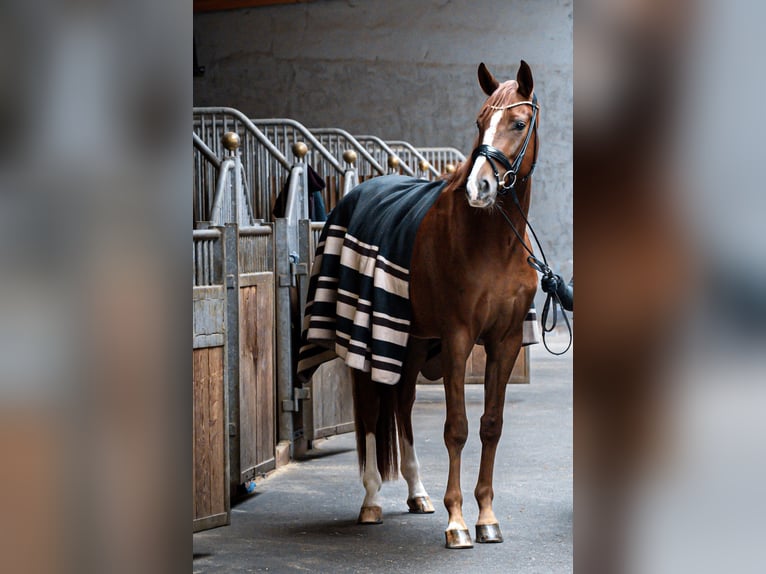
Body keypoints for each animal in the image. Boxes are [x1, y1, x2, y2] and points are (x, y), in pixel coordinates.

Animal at [299, 60, 540, 549]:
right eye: (479, 122)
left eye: (519, 123)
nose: (480, 187)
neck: (494, 243)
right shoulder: (458, 338)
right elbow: (456, 428)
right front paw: (458, 522)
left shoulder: (504, 342)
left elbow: (490, 425)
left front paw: (487, 517)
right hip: (372, 344)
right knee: (373, 413)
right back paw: (372, 501)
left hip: (409, 343)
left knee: (403, 405)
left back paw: (417, 492)